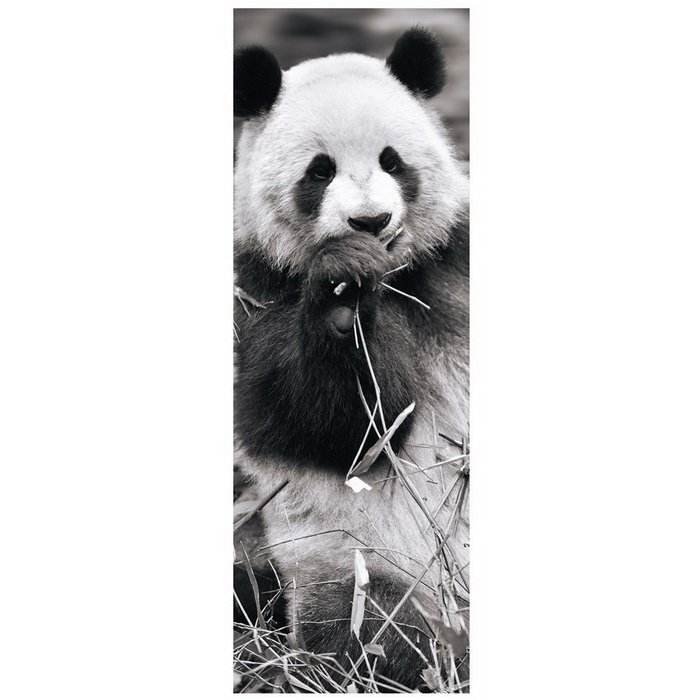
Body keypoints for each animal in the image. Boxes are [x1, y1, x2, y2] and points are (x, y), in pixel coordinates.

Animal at [234, 28, 469, 691]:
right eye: (320, 171)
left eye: (393, 160)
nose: (370, 221)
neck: (396, 275)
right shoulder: (255, 291)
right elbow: (335, 427)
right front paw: (343, 297)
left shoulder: (458, 260)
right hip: (358, 562)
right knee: (378, 634)